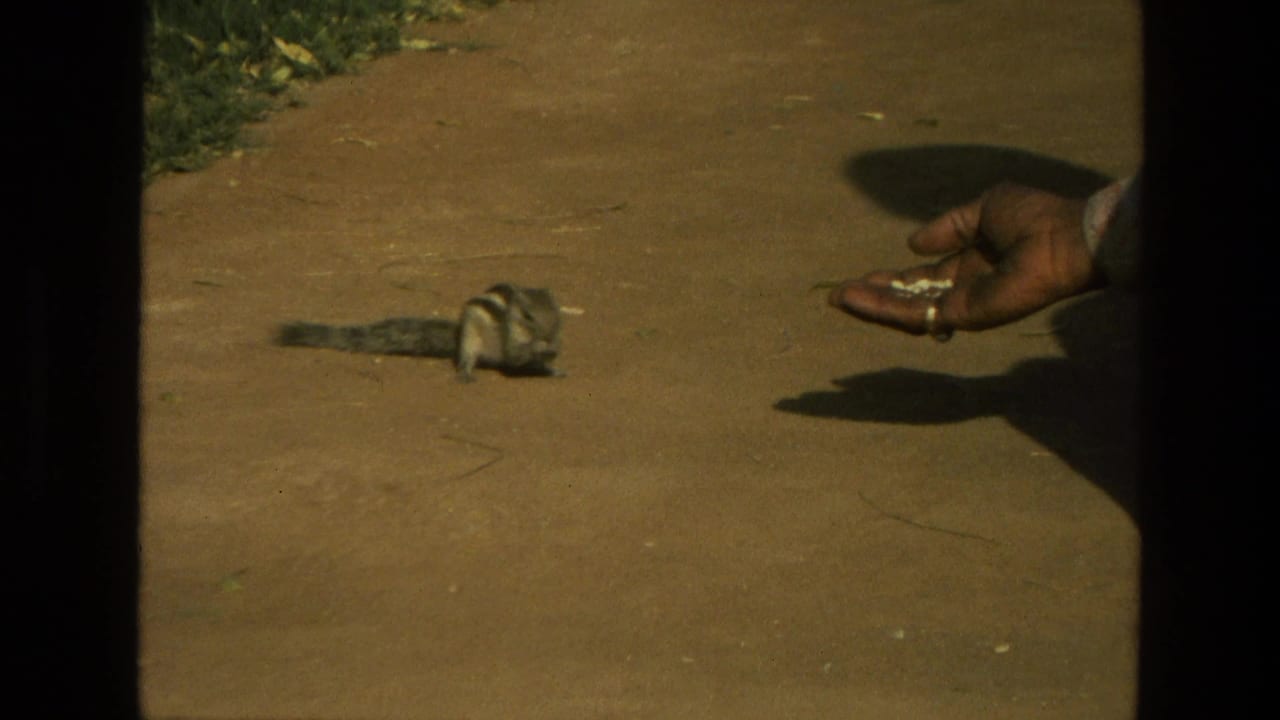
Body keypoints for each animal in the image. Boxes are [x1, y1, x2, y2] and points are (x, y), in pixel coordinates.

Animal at [276, 283, 565, 382]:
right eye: (528, 316)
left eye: (557, 311)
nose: (549, 336)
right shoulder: (510, 340)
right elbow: (516, 355)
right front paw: (540, 347)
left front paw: (552, 352)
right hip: (470, 338)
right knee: (469, 356)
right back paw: (466, 373)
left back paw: (552, 370)